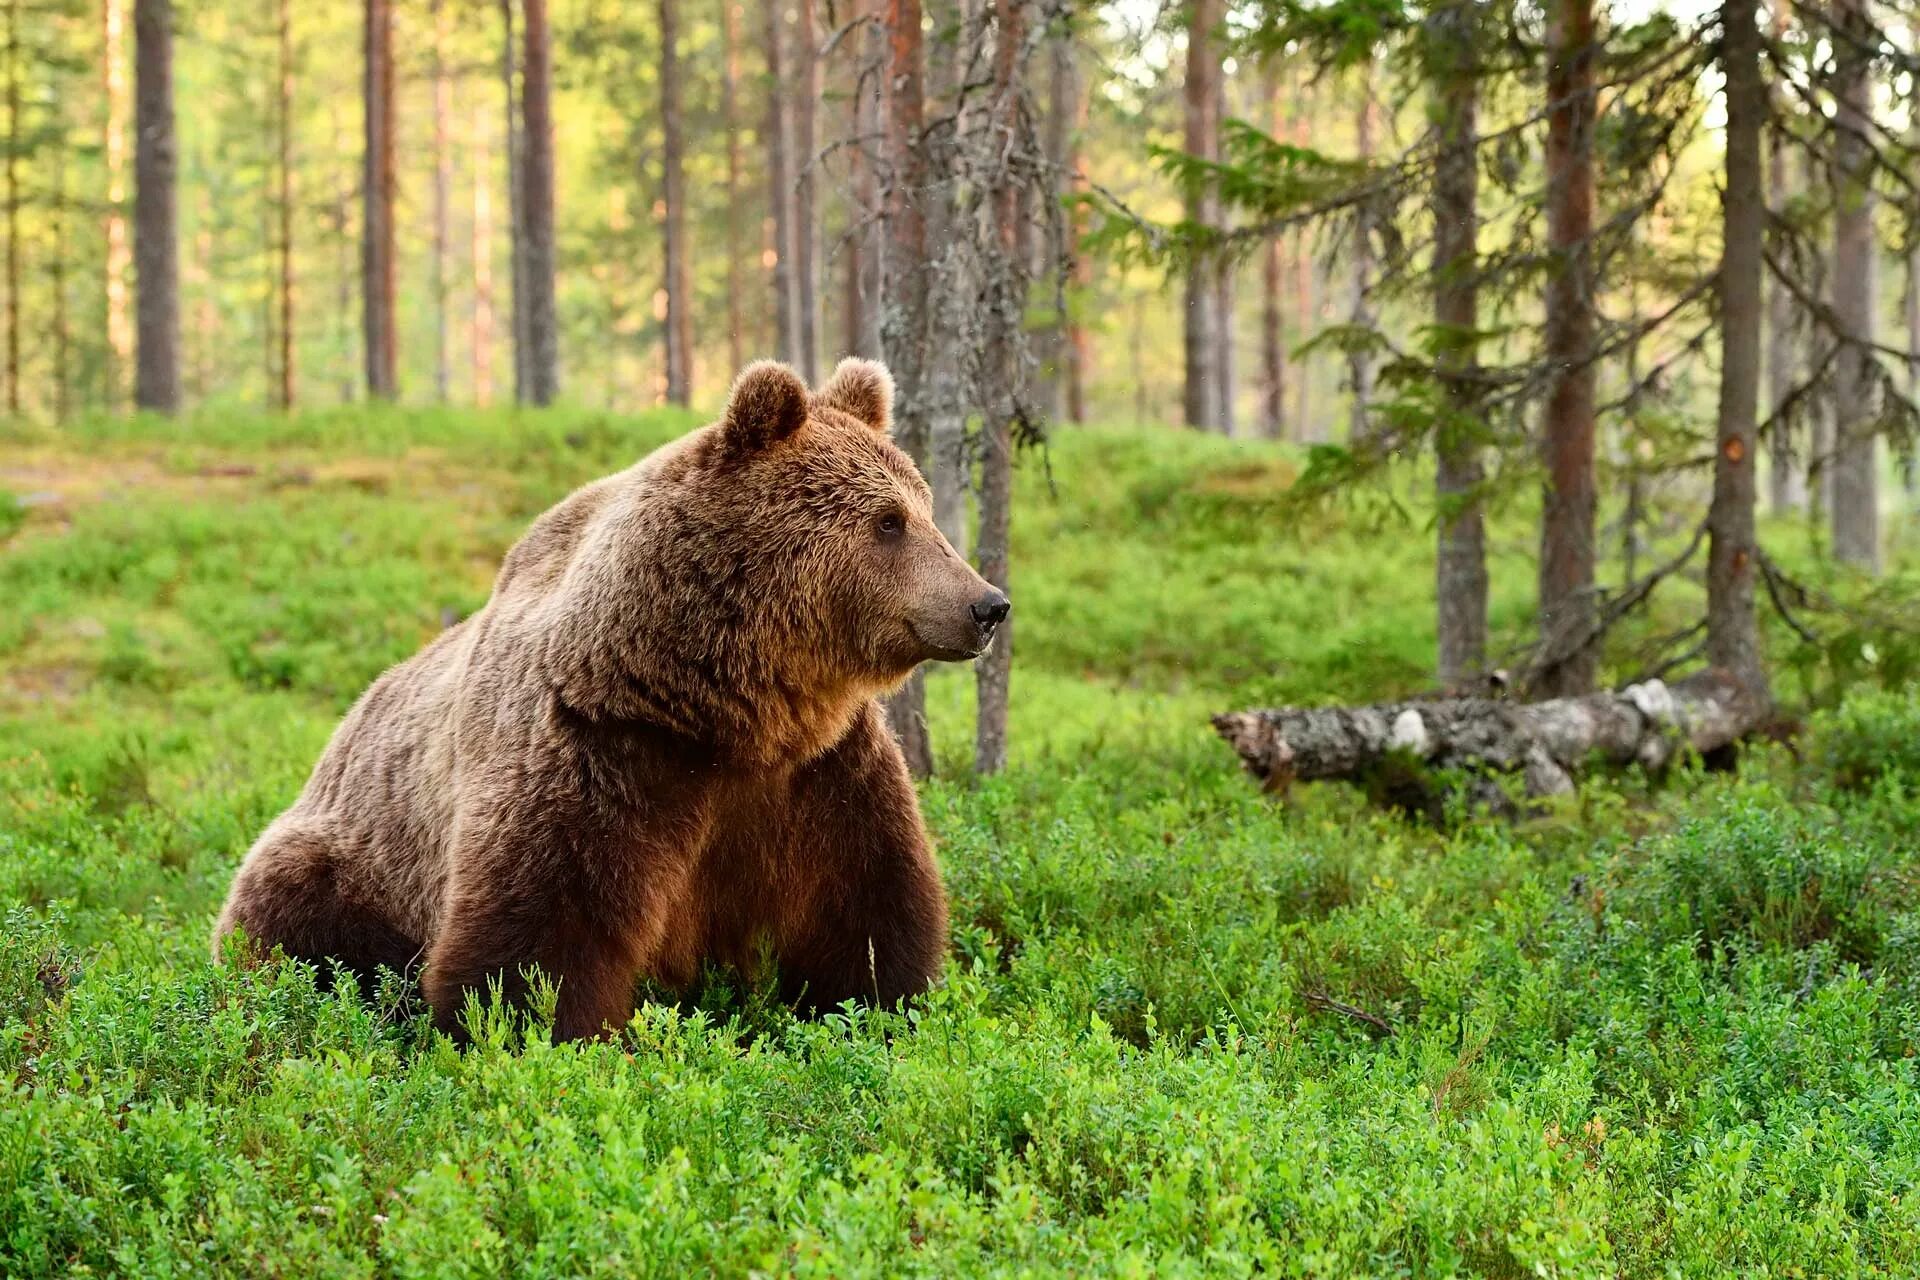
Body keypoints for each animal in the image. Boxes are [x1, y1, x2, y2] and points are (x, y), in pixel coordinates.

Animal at [214, 358, 1006, 1043]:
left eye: (923, 507)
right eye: (888, 521)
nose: (987, 604)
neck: (730, 711)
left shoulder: (821, 771)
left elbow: (868, 907)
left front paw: (882, 1012)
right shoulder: (602, 750)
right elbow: (541, 933)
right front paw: (545, 1036)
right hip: (347, 862)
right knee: (288, 918)